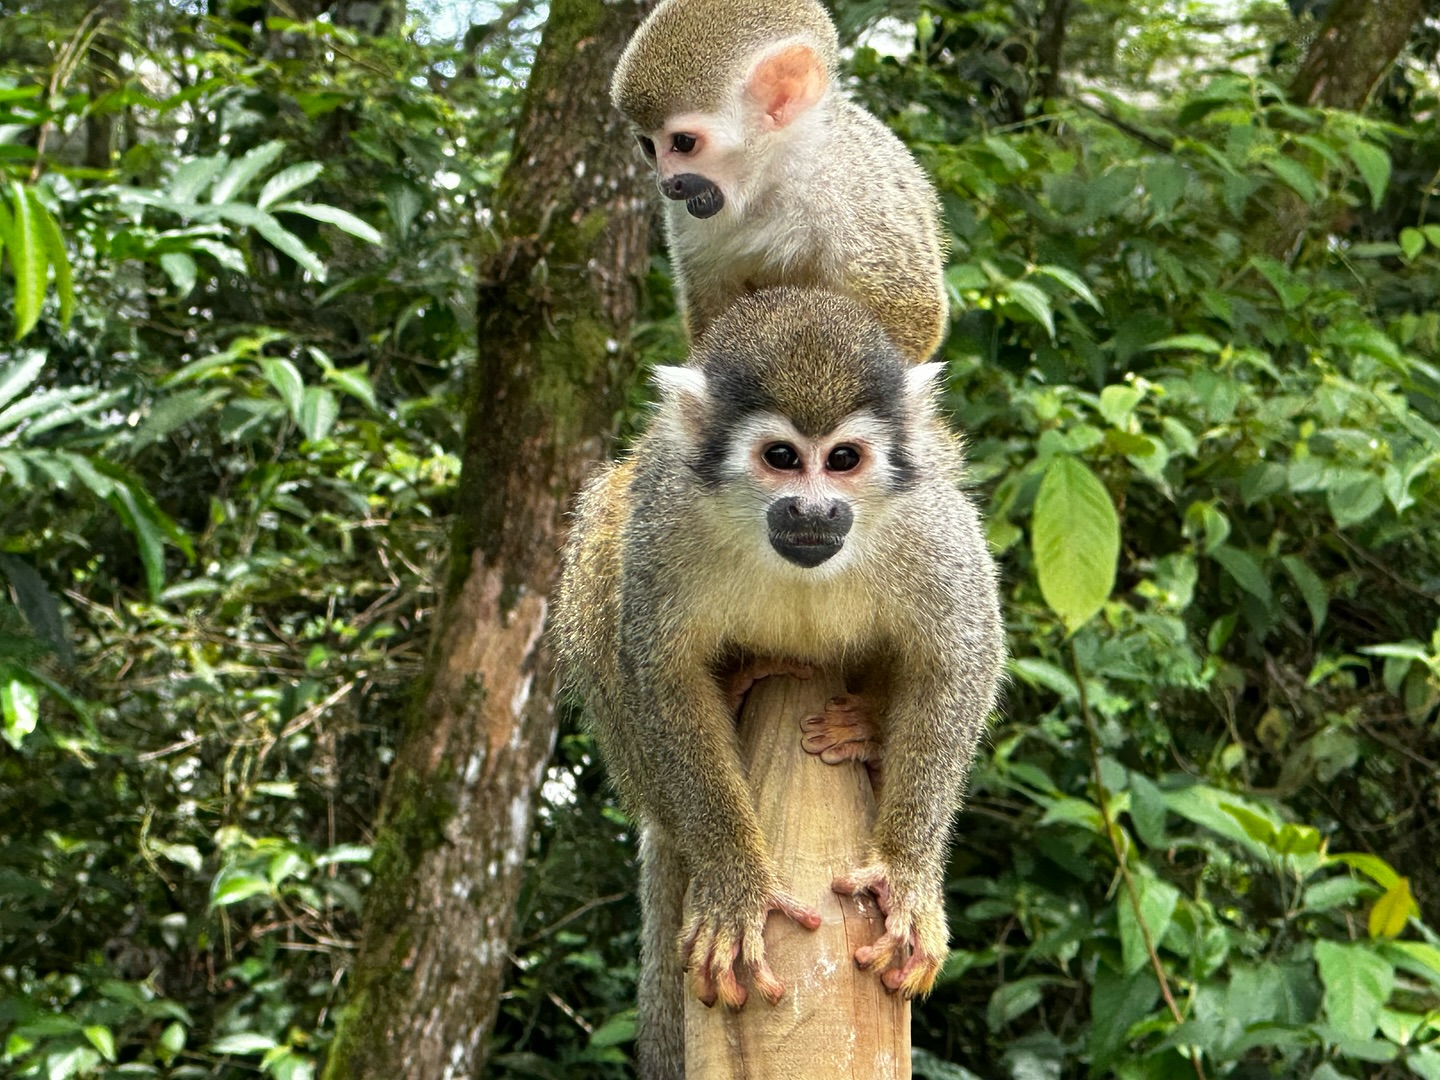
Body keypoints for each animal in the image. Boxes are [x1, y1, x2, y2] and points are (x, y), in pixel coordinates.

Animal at [552, 287, 1005, 1078]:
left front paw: (908, 876)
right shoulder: (667, 517)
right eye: (783, 459)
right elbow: (659, 673)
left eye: (844, 459)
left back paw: (870, 734)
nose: (814, 509)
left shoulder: (926, 518)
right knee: (606, 524)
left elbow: (962, 652)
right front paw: (734, 879)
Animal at [610, 0, 950, 363]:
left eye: (683, 143)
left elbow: (915, 311)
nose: (667, 184)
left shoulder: (850, 195)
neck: (771, 176)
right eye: (648, 146)